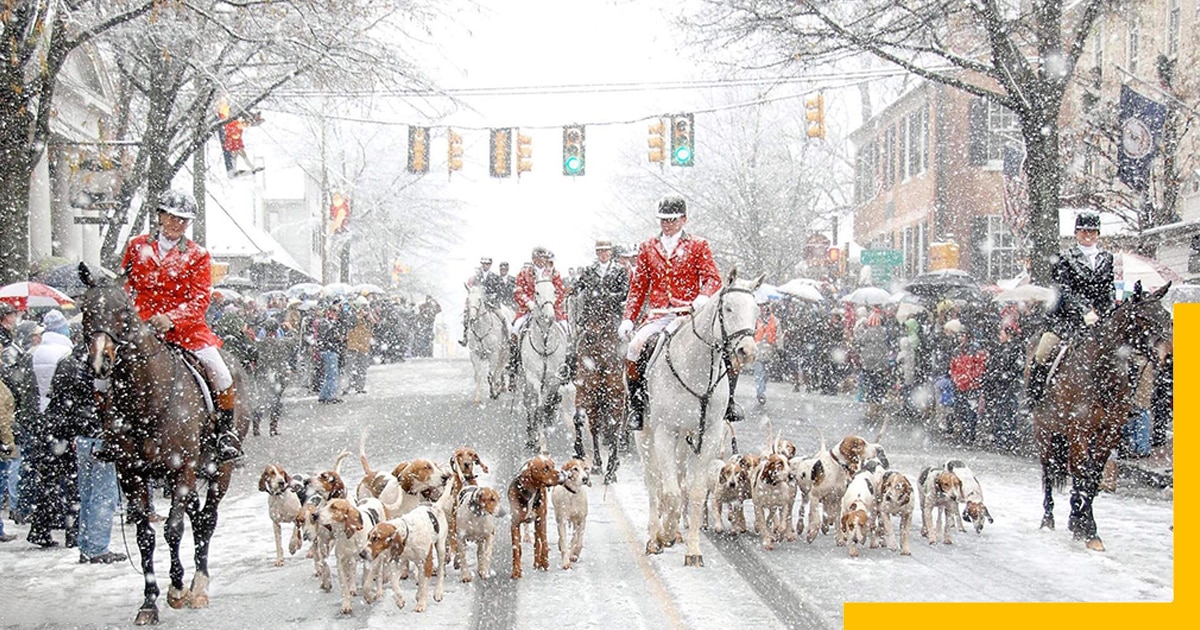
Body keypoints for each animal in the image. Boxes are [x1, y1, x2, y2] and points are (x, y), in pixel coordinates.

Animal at [76, 265, 243, 624]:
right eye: (86, 311)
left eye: (124, 312)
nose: (100, 363)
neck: (145, 399)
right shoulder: (131, 475)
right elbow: (146, 536)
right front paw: (149, 601)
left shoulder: (181, 471)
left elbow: (173, 529)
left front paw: (178, 588)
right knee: (197, 517)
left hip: (218, 471)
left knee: (207, 519)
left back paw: (200, 584)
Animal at [518, 276, 568, 451]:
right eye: (537, 292)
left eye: (554, 291)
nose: (549, 316)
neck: (545, 342)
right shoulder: (533, 378)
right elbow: (537, 407)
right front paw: (537, 440)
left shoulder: (552, 380)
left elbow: (545, 405)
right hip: (524, 380)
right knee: (529, 404)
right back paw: (530, 435)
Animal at [571, 294, 628, 482]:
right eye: (586, 302)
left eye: (604, 313)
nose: (590, 336)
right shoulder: (586, 392)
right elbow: (581, 421)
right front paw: (581, 452)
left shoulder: (617, 396)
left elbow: (614, 427)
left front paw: (611, 470)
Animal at [638, 267, 758, 561]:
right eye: (728, 307)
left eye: (757, 310)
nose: (747, 351)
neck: (696, 366)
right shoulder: (665, 432)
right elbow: (669, 492)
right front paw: (664, 535)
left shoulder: (711, 434)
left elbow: (693, 491)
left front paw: (692, 548)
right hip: (645, 435)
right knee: (653, 482)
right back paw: (654, 535)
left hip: (685, 440)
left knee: (679, 478)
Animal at [1032, 280, 1171, 549]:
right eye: (1143, 318)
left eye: (1168, 317)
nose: (1169, 357)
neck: (1102, 373)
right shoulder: (1079, 431)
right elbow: (1082, 475)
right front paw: (1083, 525)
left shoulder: (1109, 433)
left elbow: (1093, 477)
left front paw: (1085, 526)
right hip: (1045, 433)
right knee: (1049, 471)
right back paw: (1047, 518)